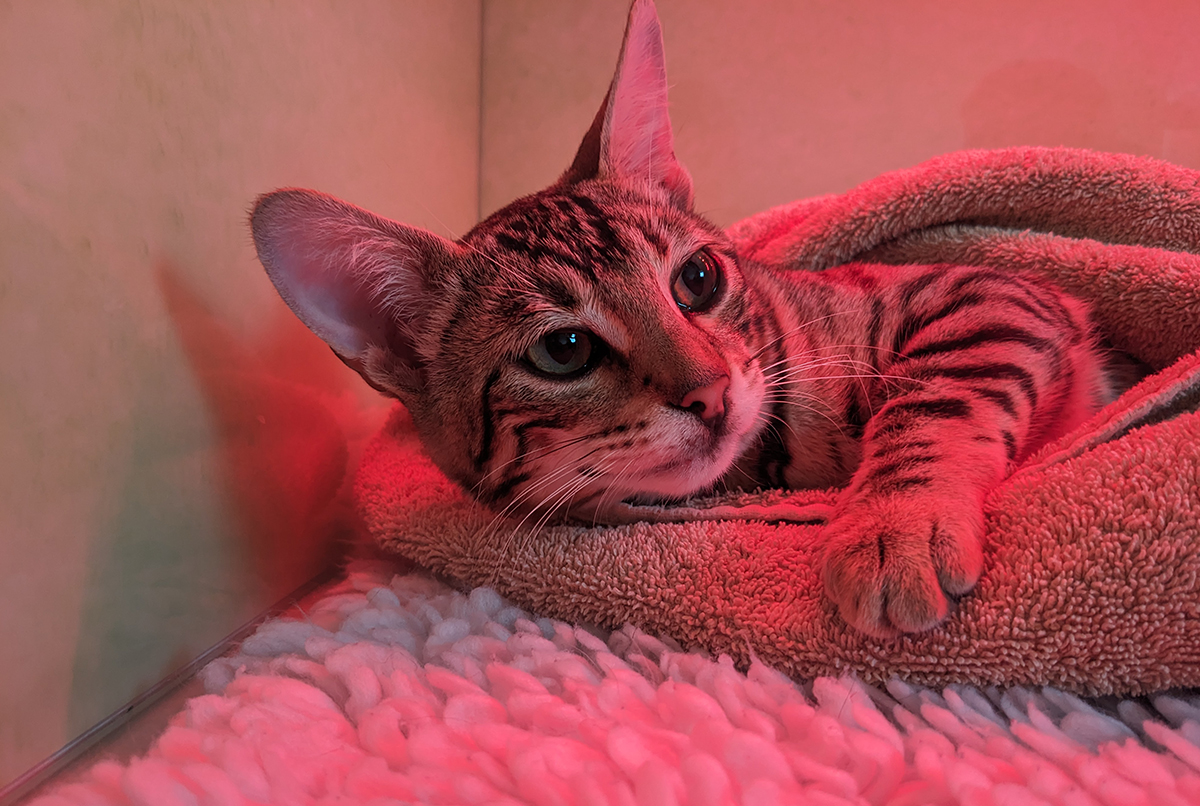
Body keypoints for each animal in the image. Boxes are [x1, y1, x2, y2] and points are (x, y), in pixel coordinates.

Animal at [250, 1, 1104, 642]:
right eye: (564, 349)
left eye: (697, 279)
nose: (711, 392)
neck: (771, 466)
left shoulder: (994, 292)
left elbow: (932, 395)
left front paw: (896, 522)